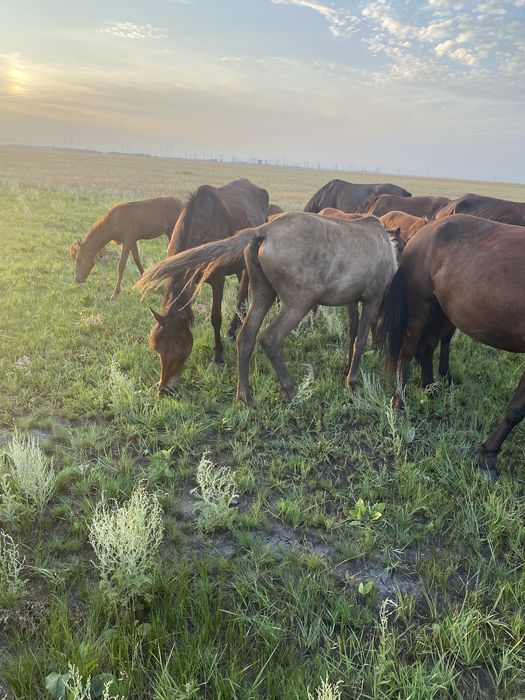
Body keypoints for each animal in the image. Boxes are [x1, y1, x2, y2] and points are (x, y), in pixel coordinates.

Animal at [137, 179, 269, 394]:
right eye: (155, 347)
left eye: (181, 349)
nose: (164, 389)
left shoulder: (218, 279)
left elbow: (215, 317)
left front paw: (218, 357)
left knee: (243, 292)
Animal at [138, 212, 398, 405]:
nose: (164, 389)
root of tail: (264, 231)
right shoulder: (373, 298)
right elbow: (360, 339)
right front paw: (352, 380)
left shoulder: (353, 298)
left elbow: (353, 331)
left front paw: (347, 365)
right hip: (298, 302)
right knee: (270, 338)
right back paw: (289, 389)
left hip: (262, 294)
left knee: (245, 338)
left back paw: (244, 396)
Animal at [379, 213, 525, 479]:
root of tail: (427, 228)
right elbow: (517, 410)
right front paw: (488, 457)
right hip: (421, 307)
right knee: (408, 351)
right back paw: (400, 403)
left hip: (444, 312)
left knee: (428, 346)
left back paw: (429, 387)